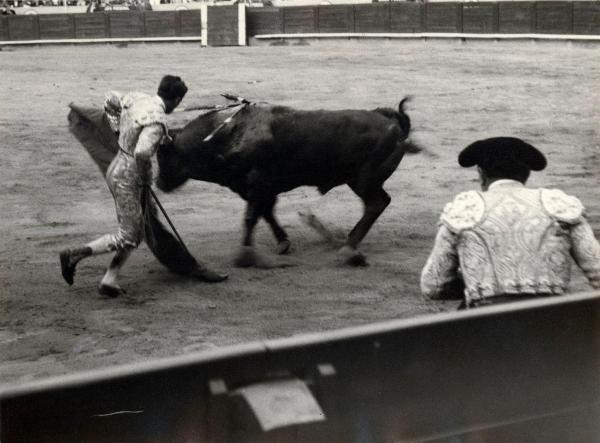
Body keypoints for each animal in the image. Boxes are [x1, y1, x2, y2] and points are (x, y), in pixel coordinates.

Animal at [157, 99, 420, 268]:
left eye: (163, 155)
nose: (159, 183)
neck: (228, 134)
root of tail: (390, 120)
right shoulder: (259, 189)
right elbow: (266, 213)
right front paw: (283, 243)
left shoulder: (258, 184)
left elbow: (251, 217)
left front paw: (245, 255)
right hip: (364, 181)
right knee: (379, 202)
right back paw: (348, 241)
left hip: (363, 180)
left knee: (375, 204)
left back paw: (348, 246)